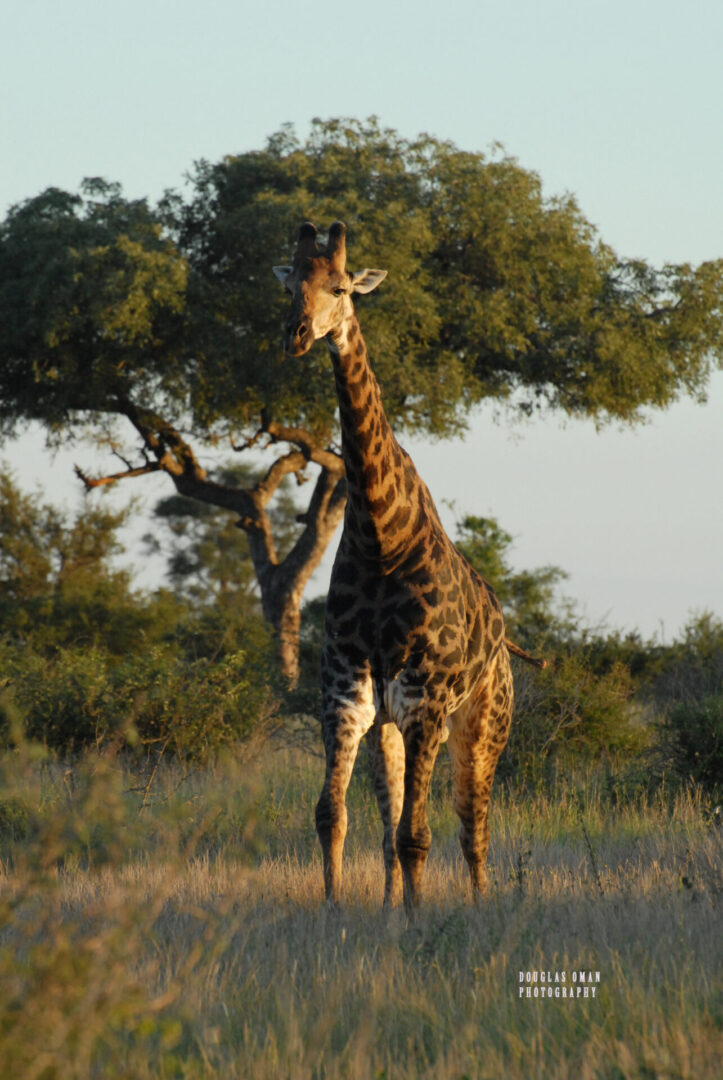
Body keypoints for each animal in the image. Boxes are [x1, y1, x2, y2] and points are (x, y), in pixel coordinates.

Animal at [273, 219, 538, 911]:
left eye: (341, 287)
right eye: (290, 284)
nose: (298, 334)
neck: (380, 536)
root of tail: (505, 639)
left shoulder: (425, 696)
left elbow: (420, 835)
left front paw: (422, 925)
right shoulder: (347, 691)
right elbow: (333, 817)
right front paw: (337, 912)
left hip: (481, 723)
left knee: (473, 825)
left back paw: (480, 905)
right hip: (391, 726)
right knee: (393, 822)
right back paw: (394, 904)